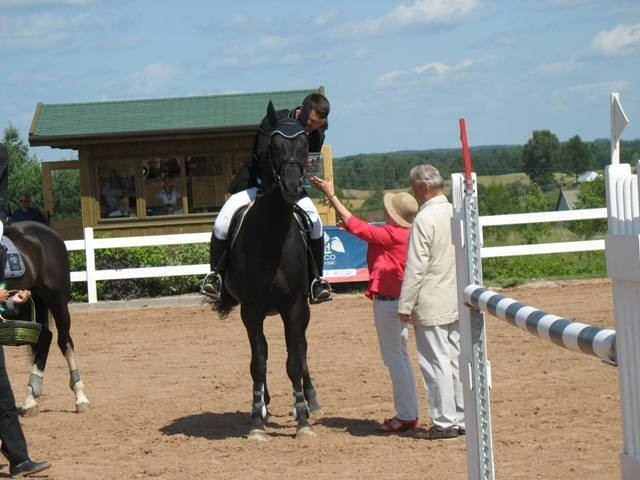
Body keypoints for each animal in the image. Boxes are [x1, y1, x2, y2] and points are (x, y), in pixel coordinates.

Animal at [214, 103, 320, 440]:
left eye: (305, 146)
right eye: (272, 147)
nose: (292, 187)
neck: (272, 234)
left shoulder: (295, 307)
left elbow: (295, 360)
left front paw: (303, 418)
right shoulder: (252, 309)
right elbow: (258, 361)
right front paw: (256, 420)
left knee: (302, 348)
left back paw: (310, 399)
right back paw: (264, 404)